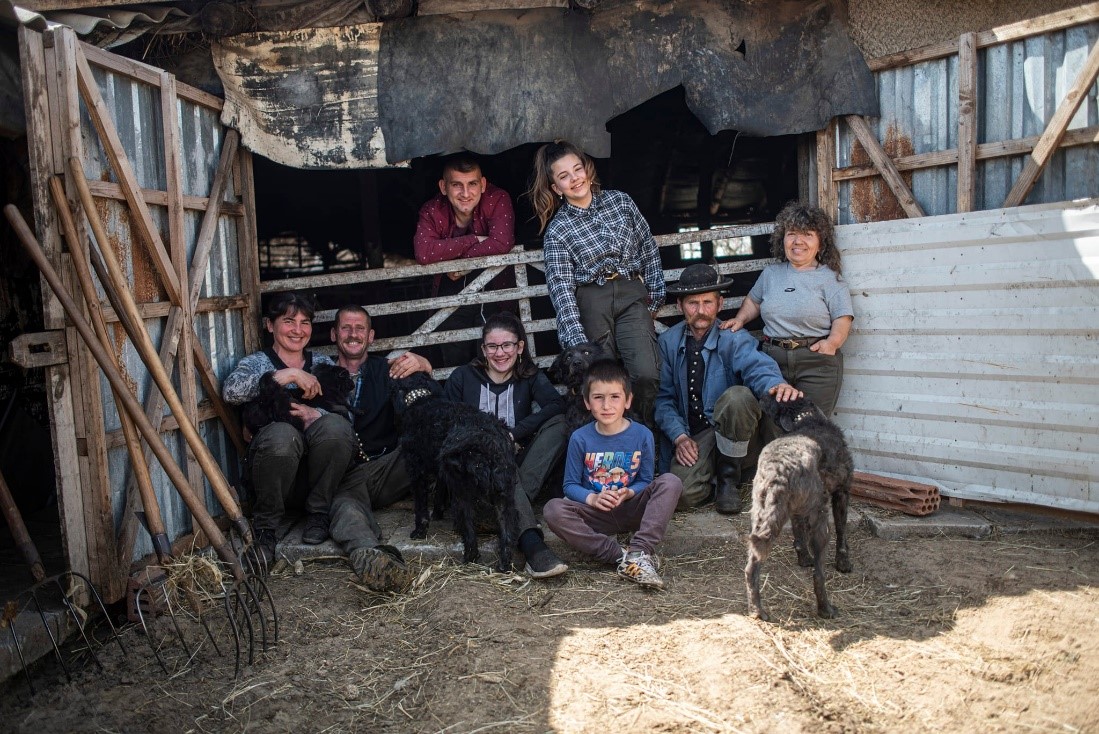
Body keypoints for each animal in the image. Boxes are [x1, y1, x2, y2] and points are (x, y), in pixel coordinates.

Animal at [391, 373, 518, 571]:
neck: (421, 400)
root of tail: (489, 442)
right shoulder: (440, 471)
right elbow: (439, 492)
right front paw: (437, 513)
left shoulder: (416, 470)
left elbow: (420, 506)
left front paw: (419, 531)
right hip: (504, 493)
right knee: (507, 532)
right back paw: (504, 566)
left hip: (462, 492)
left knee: (469, 530)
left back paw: (469, 559)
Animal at [742, 393, 852, 624]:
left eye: (774, 398)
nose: (762, 394)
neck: (807, 420)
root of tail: (778, 470)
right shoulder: (842, 493)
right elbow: (842, 532)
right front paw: (843, 563)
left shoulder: (796, 511)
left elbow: (798, 535)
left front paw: (803, 559)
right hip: (820, 518)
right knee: (819, 575)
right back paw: (826, 609)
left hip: (762, 514)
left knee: (751, 568)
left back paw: (757, 611)